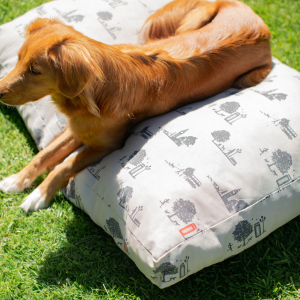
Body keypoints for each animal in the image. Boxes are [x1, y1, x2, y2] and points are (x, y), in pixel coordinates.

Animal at [0, 0, 272, 212]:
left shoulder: (106, 144)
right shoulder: (79, 128)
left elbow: (64, 164)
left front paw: (38, 195)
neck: (91, 97)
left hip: (247, 75)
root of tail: (256, 19)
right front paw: (17, 180)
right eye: (18, 59)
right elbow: (45, 154)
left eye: (35, 70)